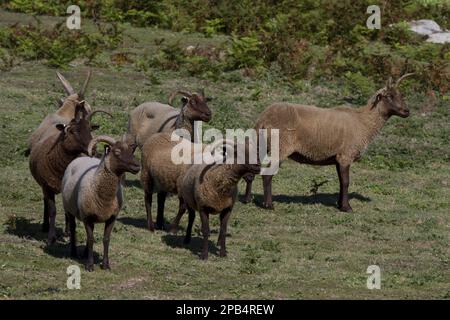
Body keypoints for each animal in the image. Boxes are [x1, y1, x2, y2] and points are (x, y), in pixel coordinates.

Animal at [60, 136, 140, 272]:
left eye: (131, 151)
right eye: (117, 152)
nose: (137, 166)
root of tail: (81, 158)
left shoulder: (111, 218)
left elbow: (106, 239)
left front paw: (106, 265)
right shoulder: (86, 217)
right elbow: (91, 239)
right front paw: (89, 265)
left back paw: (85, 253)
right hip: (70, 209)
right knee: (73, 229)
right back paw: (74, 252)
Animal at [244, 74, 414, 211]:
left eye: (401, 95)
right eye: (389, 96)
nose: (407, 111)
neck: (364, 122)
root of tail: (263, 118)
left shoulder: (338, 158)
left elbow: (340, 182)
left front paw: (340, 204)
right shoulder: (346, 155)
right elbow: (346, 182)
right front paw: (346, 207)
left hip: (261, 144)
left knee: (250, 172)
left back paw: (248, 199)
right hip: (280, 146)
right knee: (267, 174)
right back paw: (269, 205)